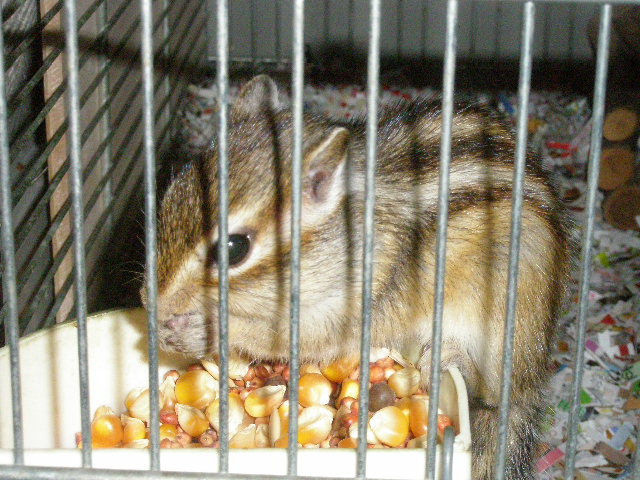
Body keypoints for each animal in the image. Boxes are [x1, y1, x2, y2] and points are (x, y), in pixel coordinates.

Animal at [142, 75, 575, 480]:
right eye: (167, 197)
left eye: (234, 249)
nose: (151, 302)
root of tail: (533, 375)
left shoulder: (353, 304)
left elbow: (288, 338)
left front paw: (198, 331)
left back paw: (446, 358)